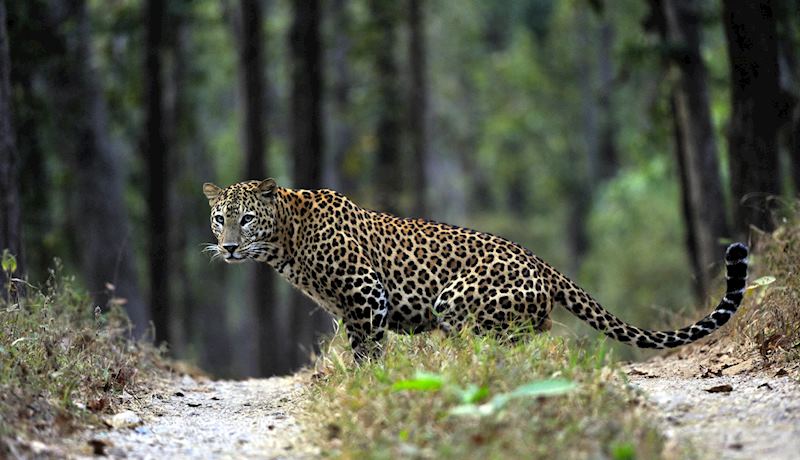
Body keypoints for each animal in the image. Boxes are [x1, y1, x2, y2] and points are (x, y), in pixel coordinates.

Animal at [202, 178, 752, 362]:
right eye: (218, 217)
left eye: (245, 218)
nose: (227, 248)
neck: (286, 241)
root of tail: (543, 263)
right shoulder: (348, 308)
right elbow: (359, 345)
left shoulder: (366, 294)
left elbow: (367, 350)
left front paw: (366, 381)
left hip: (457, 300)